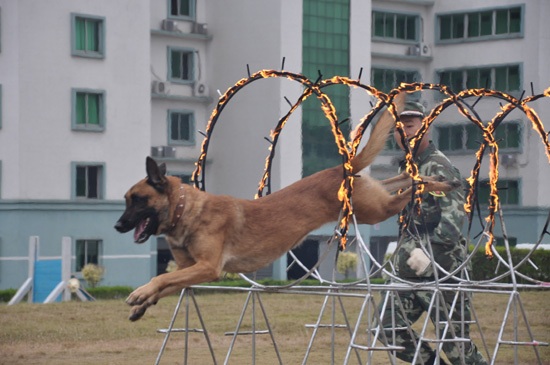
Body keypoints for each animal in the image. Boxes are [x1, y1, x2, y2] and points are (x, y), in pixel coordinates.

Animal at [114, 96, 460, 318]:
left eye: (138, 200)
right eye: (126, 200)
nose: (118, 226)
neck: (185, 210)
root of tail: (342, 168)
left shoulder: (207, 268)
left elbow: (161, 280)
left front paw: (139, 294)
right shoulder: (190, 269)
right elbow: (167, 283)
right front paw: (142, 304)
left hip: (374, 210)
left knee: (413, 187)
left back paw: (442, 184)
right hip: (374, 199)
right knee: (404, 177)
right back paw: (431, 177)